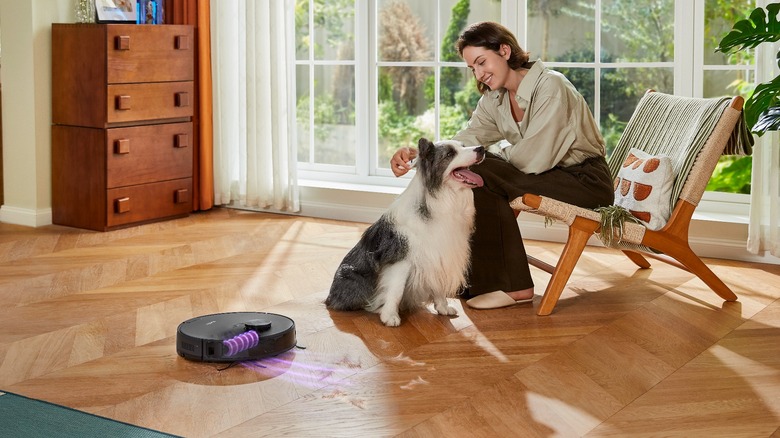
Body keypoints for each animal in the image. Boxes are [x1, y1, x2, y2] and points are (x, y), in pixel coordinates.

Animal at [322, 137, 482, 326]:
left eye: (463, 146)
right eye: (450, 154)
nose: (481, 149)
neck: (442, 199)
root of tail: (328, 298)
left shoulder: (437, 254)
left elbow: (437, 284)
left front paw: (443, 307)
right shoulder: (401, 260)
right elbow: (396, 290)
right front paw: (389, 316)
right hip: (353, 280)